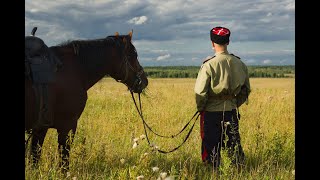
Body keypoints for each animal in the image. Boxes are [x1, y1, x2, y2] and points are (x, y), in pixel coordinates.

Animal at [25, 30, 149, 171]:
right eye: (133, 55)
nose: (144, 81)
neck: (73, 69)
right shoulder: (67, 126)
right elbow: (64, 161)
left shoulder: (40, 128)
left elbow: (34, 159)